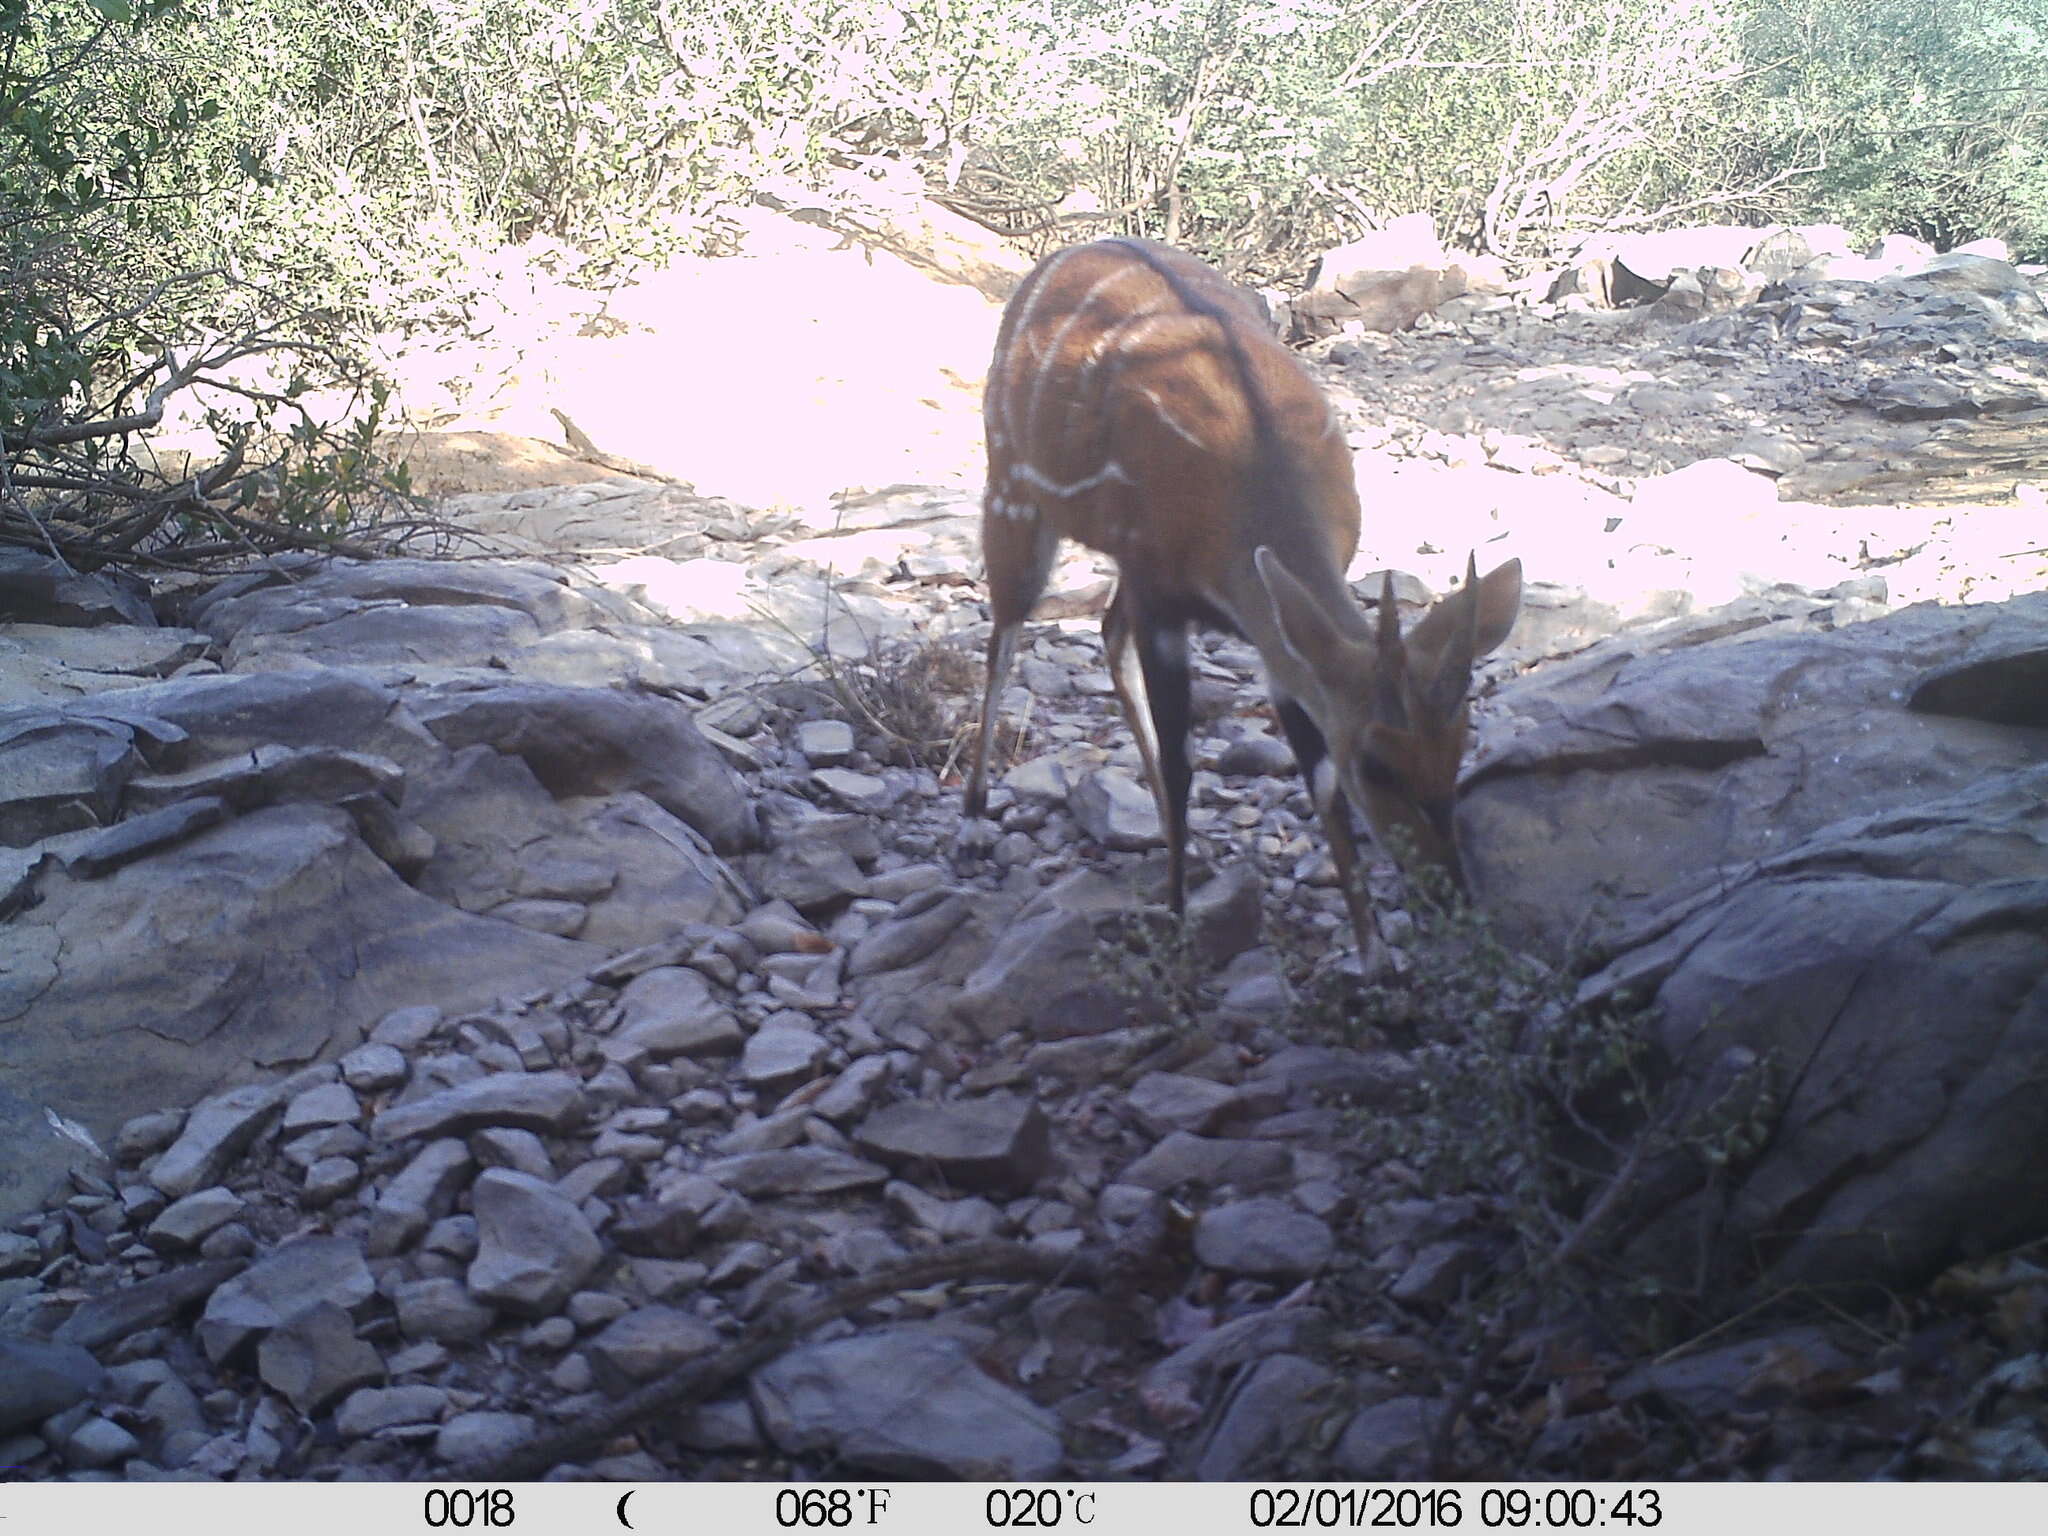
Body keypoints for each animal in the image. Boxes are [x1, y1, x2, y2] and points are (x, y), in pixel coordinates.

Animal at [962, 239, 1523, 962]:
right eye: (1377, 766)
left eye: (1461, 744)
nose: (1449, 889)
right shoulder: (1161, 592)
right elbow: (1183, 763)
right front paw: (1176, 927)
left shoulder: (1274, 632)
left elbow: (1316, 778)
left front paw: (1374, 953)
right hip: (1013, 491)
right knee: (1004, 639)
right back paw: (975, 819)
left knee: (1104, 633)